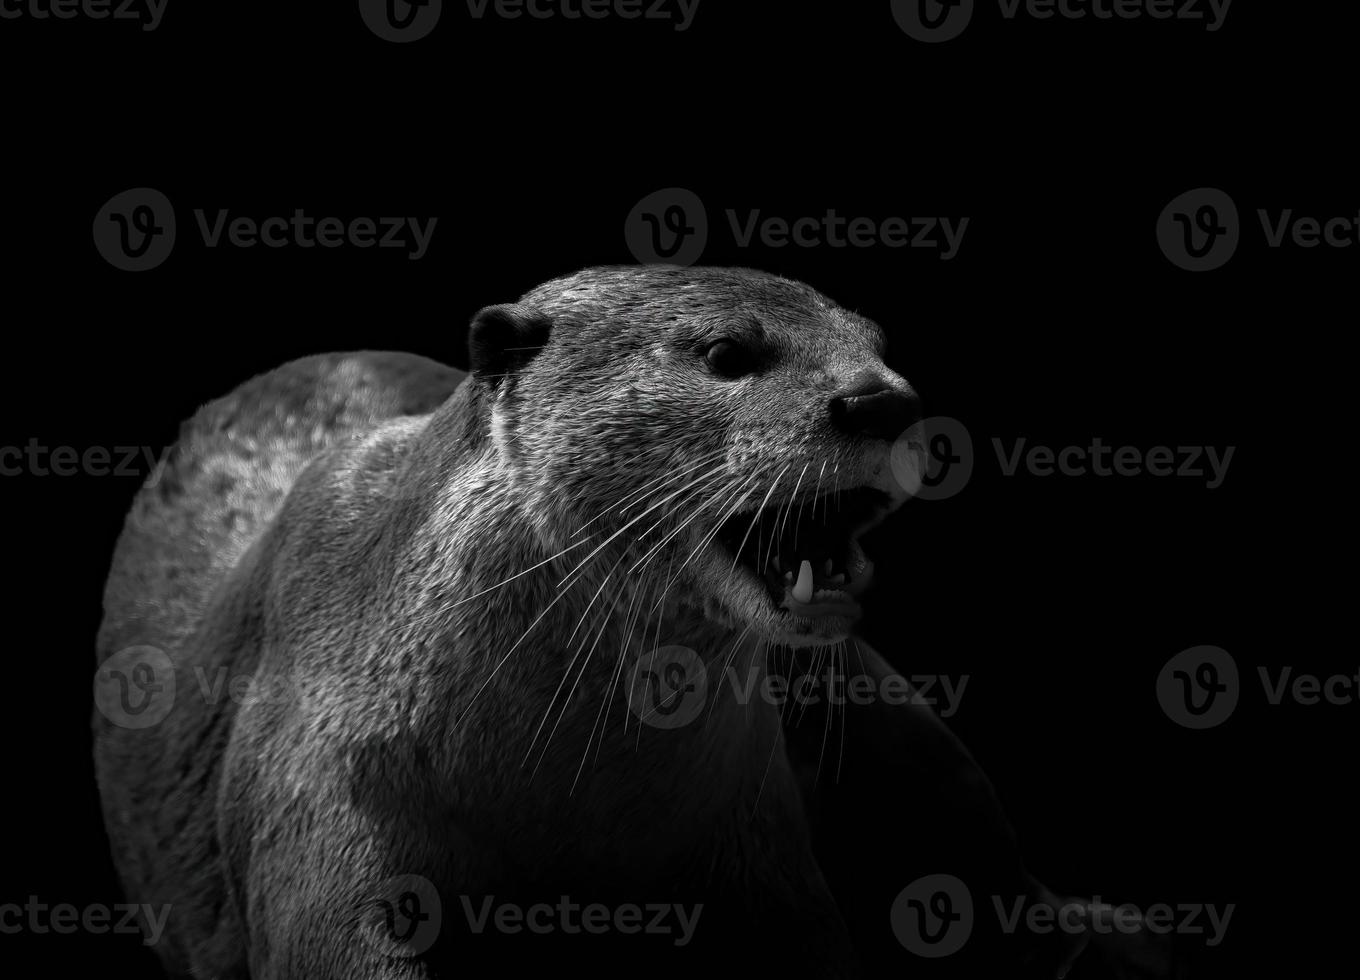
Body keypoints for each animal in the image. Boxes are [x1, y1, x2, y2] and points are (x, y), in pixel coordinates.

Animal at [93, 267, 1169, 978]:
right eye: (727, 353)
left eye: (880, 346)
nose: (882, 400)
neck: (566, 797)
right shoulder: (321, 779)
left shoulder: (759, 835)